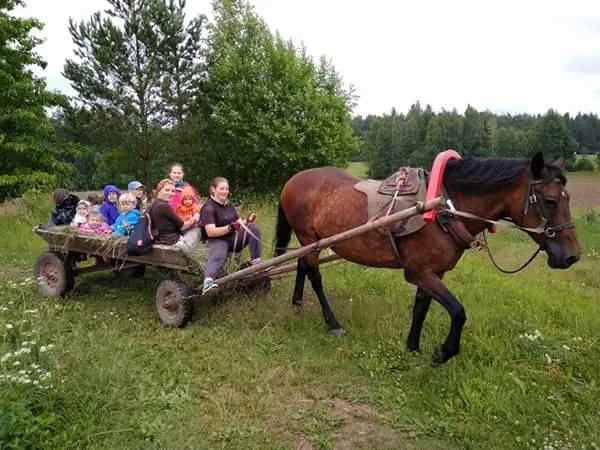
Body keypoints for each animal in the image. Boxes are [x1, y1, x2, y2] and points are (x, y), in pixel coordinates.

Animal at [274, 151, 580, 366]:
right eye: (550, 201)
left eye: (568, 198)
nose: (572, 256)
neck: (445, 208)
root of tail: (293, 179)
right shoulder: (419, 272)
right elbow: (457, 311)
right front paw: (443, 352)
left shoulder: (433, 272)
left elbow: (421, 308)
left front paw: (412, 347)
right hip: (309, 238)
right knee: (315, 275)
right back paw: (332, 323)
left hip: (310, 242)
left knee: (301, 265)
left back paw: (297, 303)